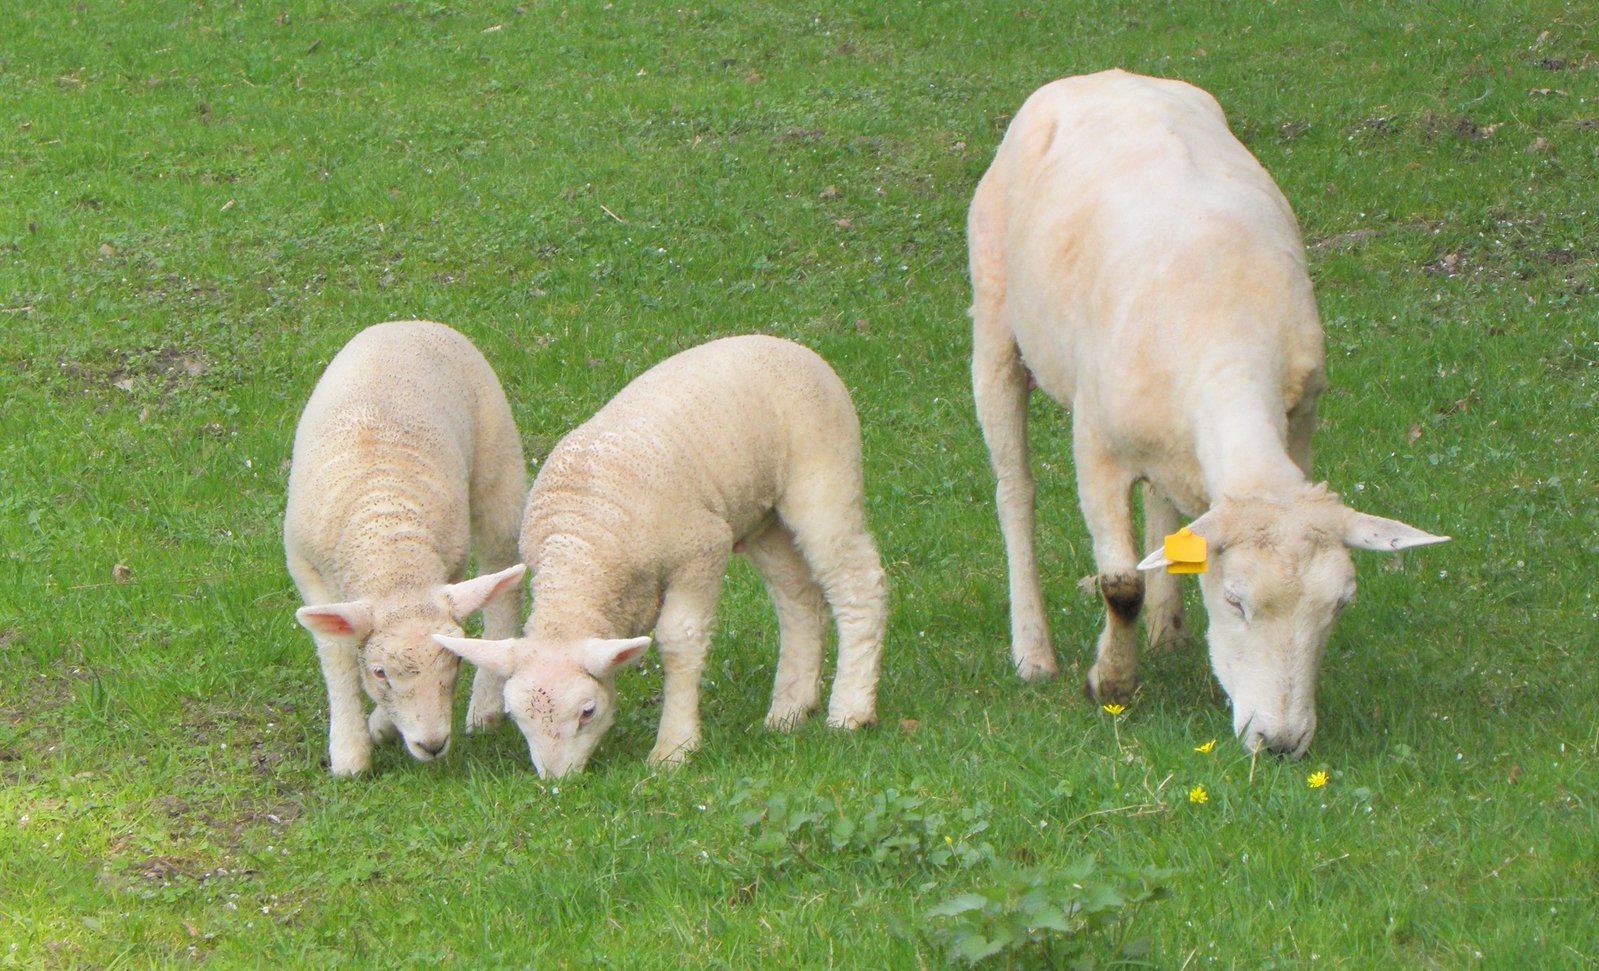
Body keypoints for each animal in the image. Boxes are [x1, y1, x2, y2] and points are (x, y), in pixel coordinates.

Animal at [287, 323, 530, 777]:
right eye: (380, 672)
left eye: (455, 662)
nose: (432, 745)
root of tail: (410, 323)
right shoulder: (305, 566)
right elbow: (336, 652)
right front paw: (350, 751)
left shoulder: (448, 568)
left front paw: (379, 727)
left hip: (498, 464)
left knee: (502, 582)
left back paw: (485, 707)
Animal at [434, 337, 889, 777]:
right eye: (516, 717)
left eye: (587, 712)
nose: (556, 784)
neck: (581, 553)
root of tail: (791, 346)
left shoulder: (701, 550)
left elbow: (677, 642)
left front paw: (674, 749)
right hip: (763, 519)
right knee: (799, 601)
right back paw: (789, 711)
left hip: (823, 480)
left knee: (859, 584)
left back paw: (850, 710)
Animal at [959, 71, 1451, 764]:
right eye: (1236, 600)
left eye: (1340, 607)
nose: (1281, 742)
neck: (1226, 334)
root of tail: (1099, 75)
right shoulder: (1096, 446)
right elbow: (1121, 585)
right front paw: (1110, 682)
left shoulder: (1300, 422)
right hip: (996, 319)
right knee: (1014, 492)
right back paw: (1033, 652)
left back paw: (1166, 631)